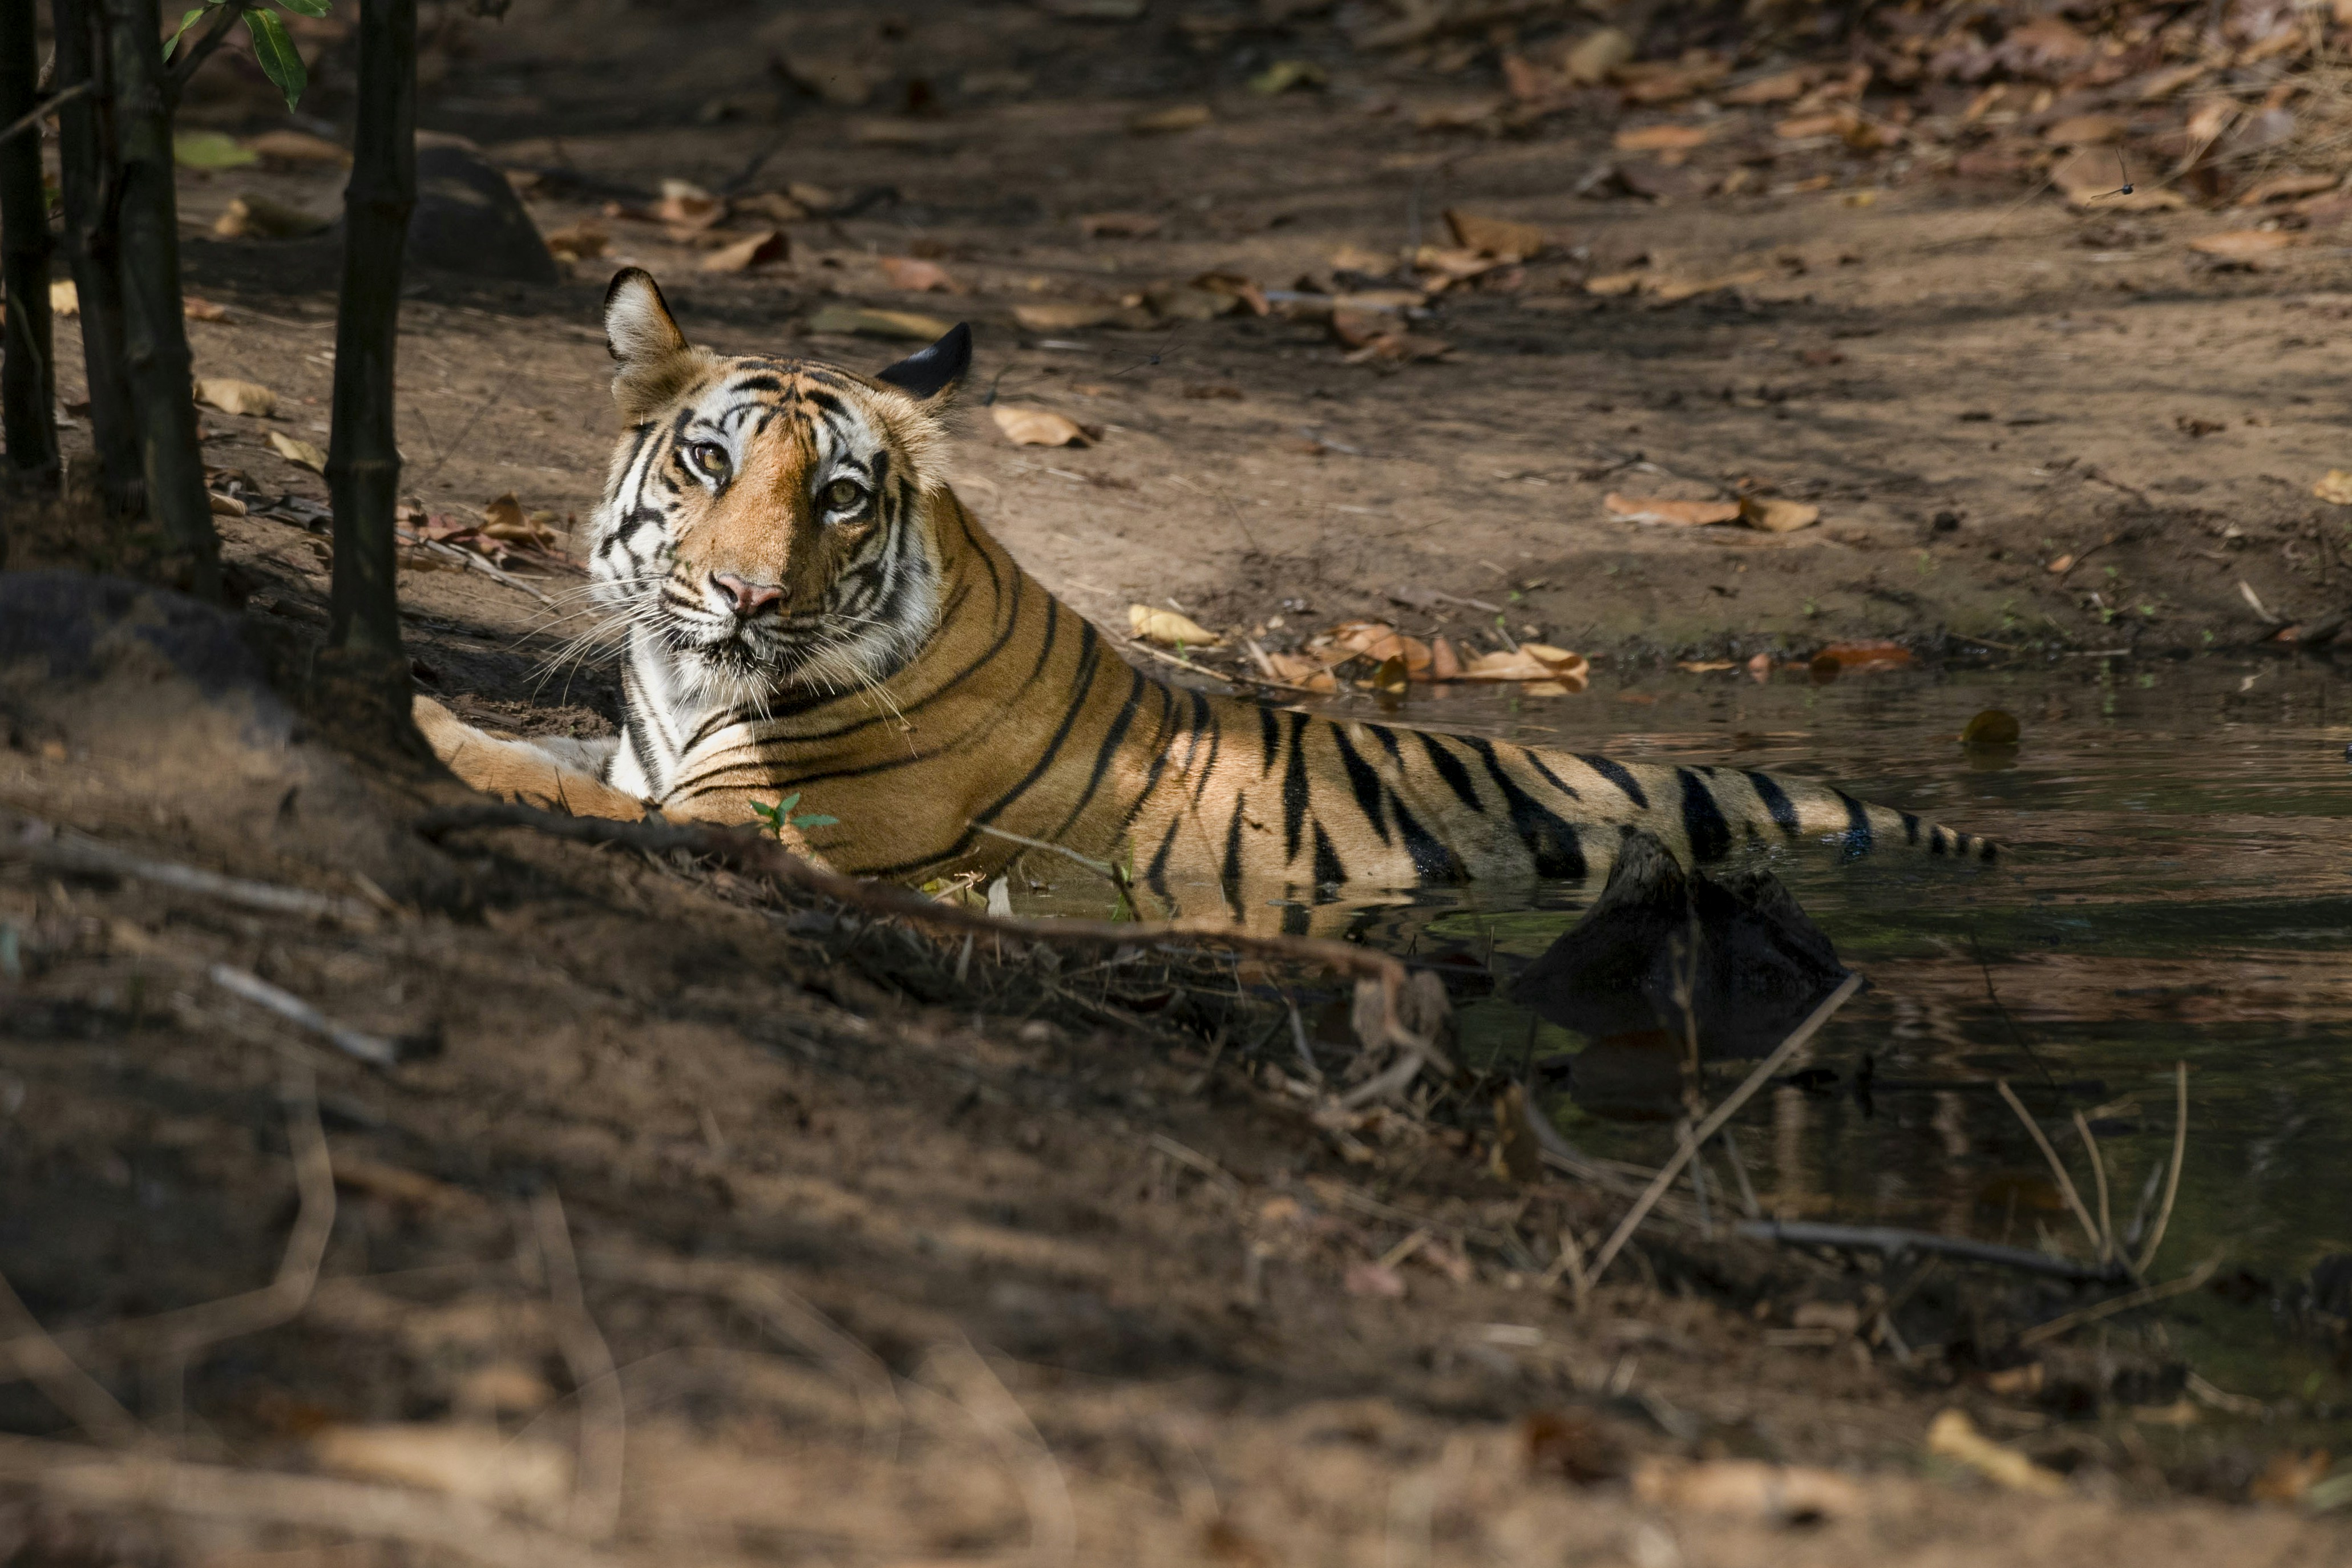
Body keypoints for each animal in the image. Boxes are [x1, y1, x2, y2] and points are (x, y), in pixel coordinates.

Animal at [415, 267, 1993, 933]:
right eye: (709, 460)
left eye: (840, 498)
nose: (744, 595)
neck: (690, 691)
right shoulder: (648, 757)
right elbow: (551, 755)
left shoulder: (767, 825)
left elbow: (542, 784)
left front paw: (422, 724)